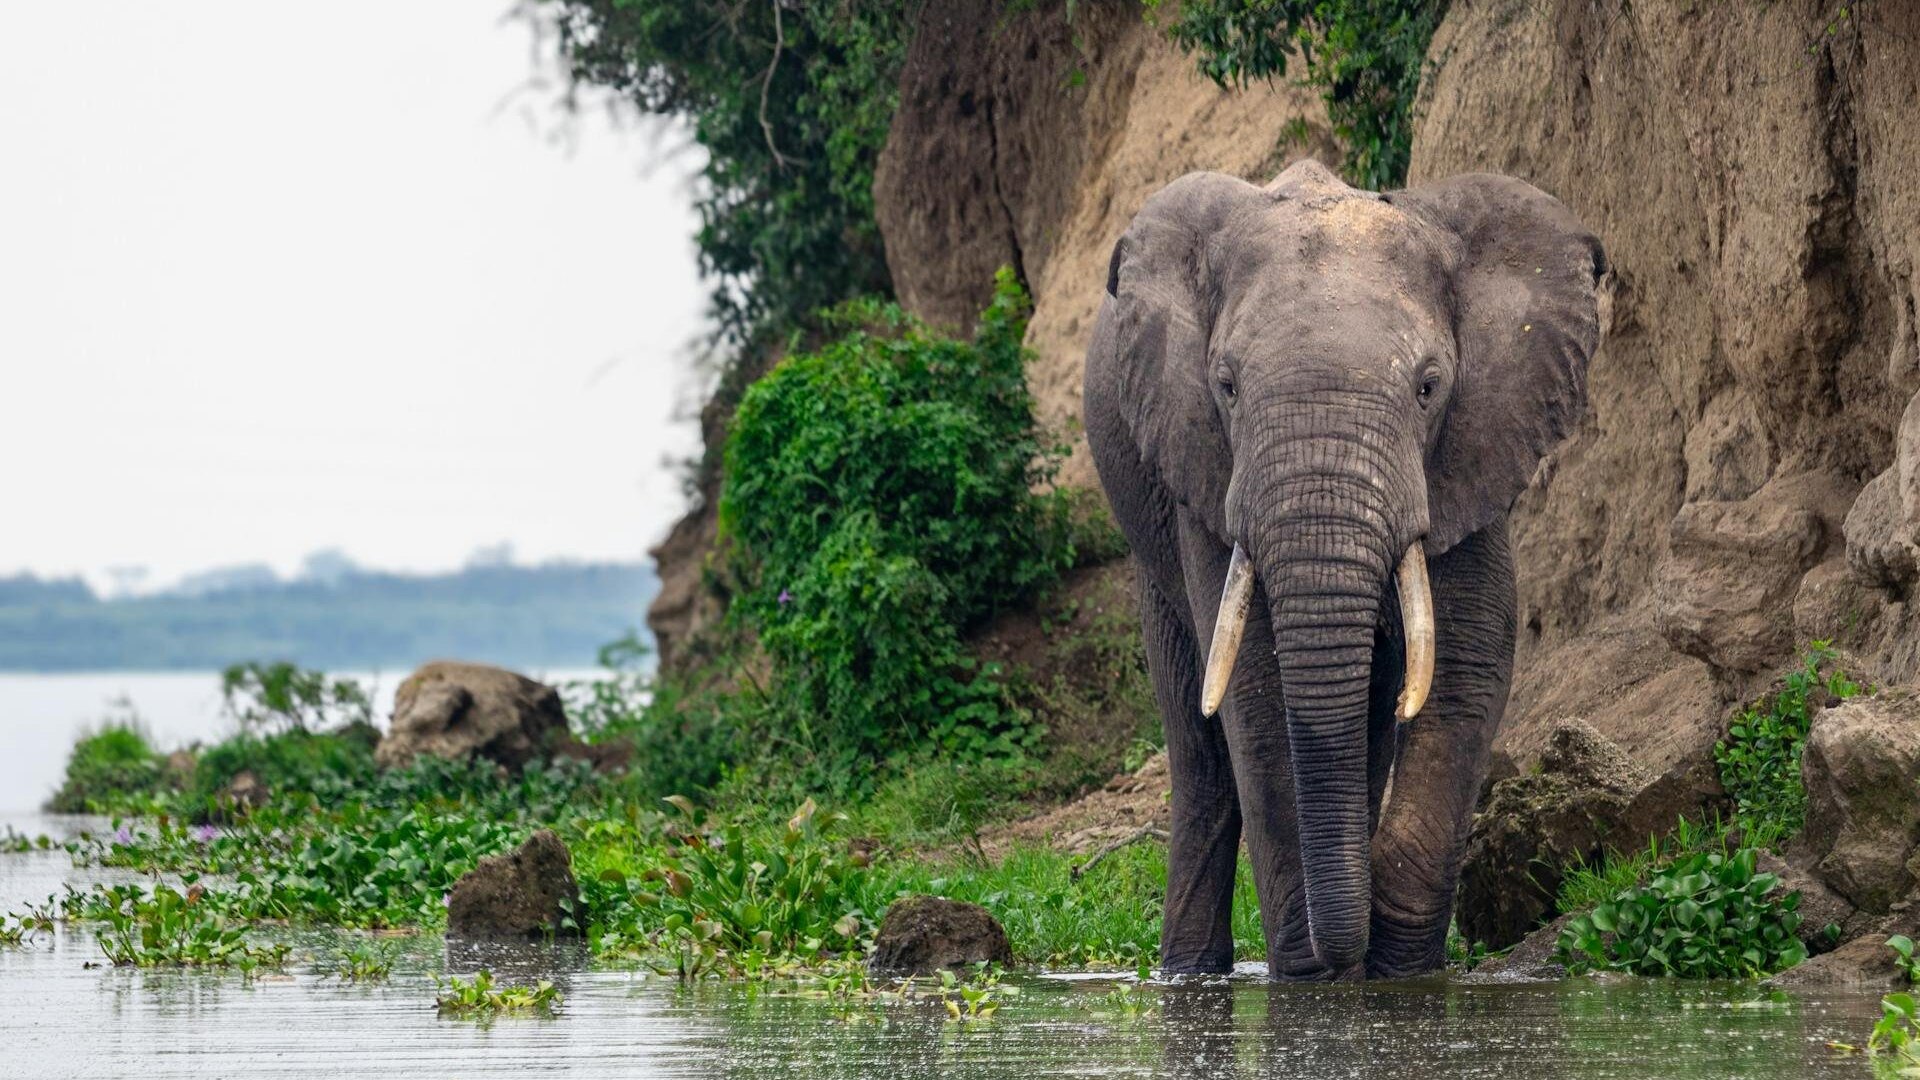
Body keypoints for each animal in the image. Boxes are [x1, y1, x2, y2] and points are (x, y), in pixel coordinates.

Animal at [1084, 158, 1605, 979]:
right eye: (1225, 385)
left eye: (1428, 386)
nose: (1343, 956)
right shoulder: (1204, 467)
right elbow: (1256, 691)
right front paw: (1316, 976)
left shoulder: (1472, 449)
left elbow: (1468, 661)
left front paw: (1397, 970)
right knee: (1200, 752)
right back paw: (1191, 973)